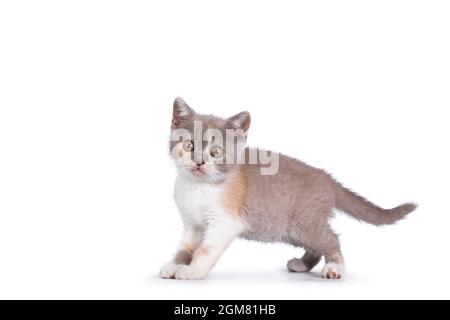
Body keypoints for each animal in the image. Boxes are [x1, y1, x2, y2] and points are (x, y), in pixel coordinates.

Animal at [160, 97, 416, 280]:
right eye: (189, 145)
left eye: (215, 152)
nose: (199, 162)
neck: (199, 186)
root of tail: (326, 177)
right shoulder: (193, 224)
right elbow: (185, 248)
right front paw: (174, 266)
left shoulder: (224, 223)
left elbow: (205, 250)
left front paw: (193, 271)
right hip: (290, 229)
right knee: (318, 244)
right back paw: (303, 264)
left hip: (304, 224)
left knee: (331, 238)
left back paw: (335, 268)